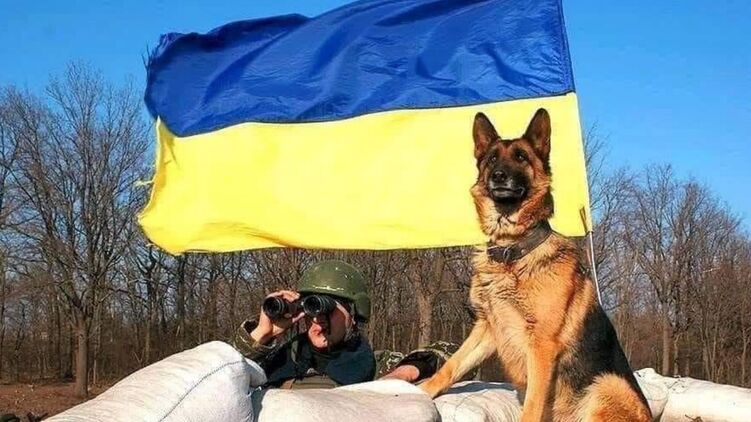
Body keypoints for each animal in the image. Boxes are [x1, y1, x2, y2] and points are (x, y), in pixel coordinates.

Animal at [420, 109, 651, 421]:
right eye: (492, 159)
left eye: (521, 157)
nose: (499, 176)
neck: (512, 250)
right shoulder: (487, 328)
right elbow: (451, 367)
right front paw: (415, 391)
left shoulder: (541, 345)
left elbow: (531, 404)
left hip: (606, 384)